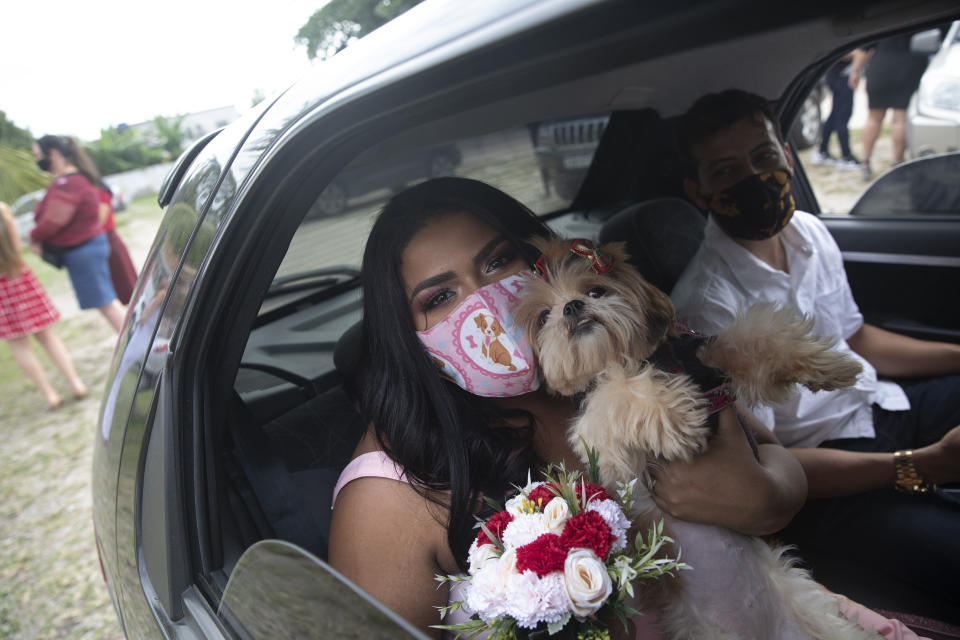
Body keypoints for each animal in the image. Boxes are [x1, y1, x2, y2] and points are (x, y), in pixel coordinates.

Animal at [512, 236, 880, 640]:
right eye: (544, 316)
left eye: (596, 290)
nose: (573, 306)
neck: (637, 359)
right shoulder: (600, 429)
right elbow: (621, 389)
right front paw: (679, 420)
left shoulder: (707, 355)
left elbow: (756, 336)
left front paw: (831, 366)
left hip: (814, 611)